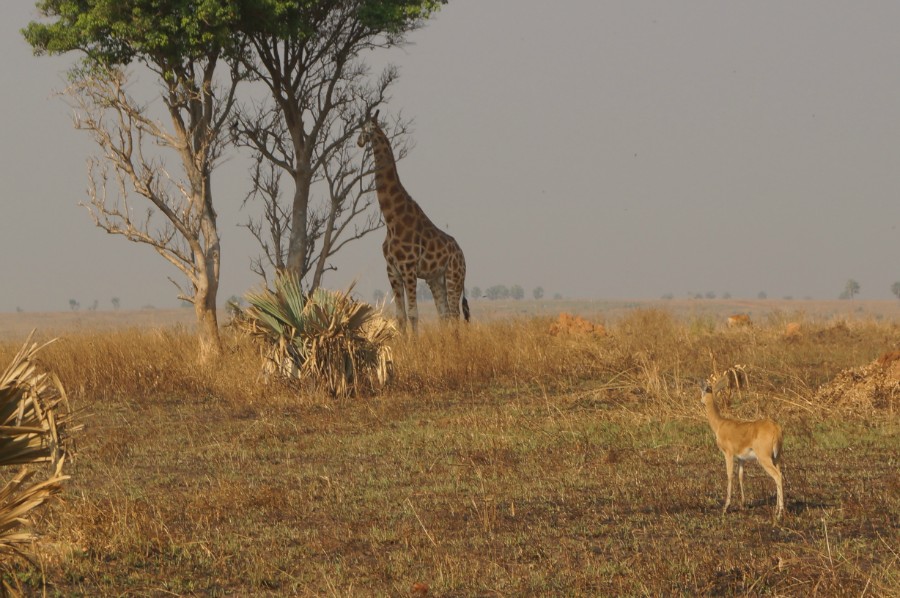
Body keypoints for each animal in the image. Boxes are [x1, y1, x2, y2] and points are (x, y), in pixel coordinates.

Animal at [358, 112, 472, 332]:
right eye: (360, 127)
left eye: (370, 128)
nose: (360, 141)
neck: (392, 220)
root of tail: (463, 255)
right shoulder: (392, 271)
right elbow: (400, 315)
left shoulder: (408, 268)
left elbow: (413, 313)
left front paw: (414, 341)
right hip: (436, 280)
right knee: (444, 314)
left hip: (454, 276)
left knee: (455, 315)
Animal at [704, 370, 780, 520]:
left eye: (703, 391)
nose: (701, 401)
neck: (720, 424)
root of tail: (775, 428)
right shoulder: (741, 458)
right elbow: (740, 475)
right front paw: (743, 504)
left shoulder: (728, 454)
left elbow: (729, 475)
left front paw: (726, 507)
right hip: (777, 457)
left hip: (765, 459)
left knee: (777, 477)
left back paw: (779, 513)